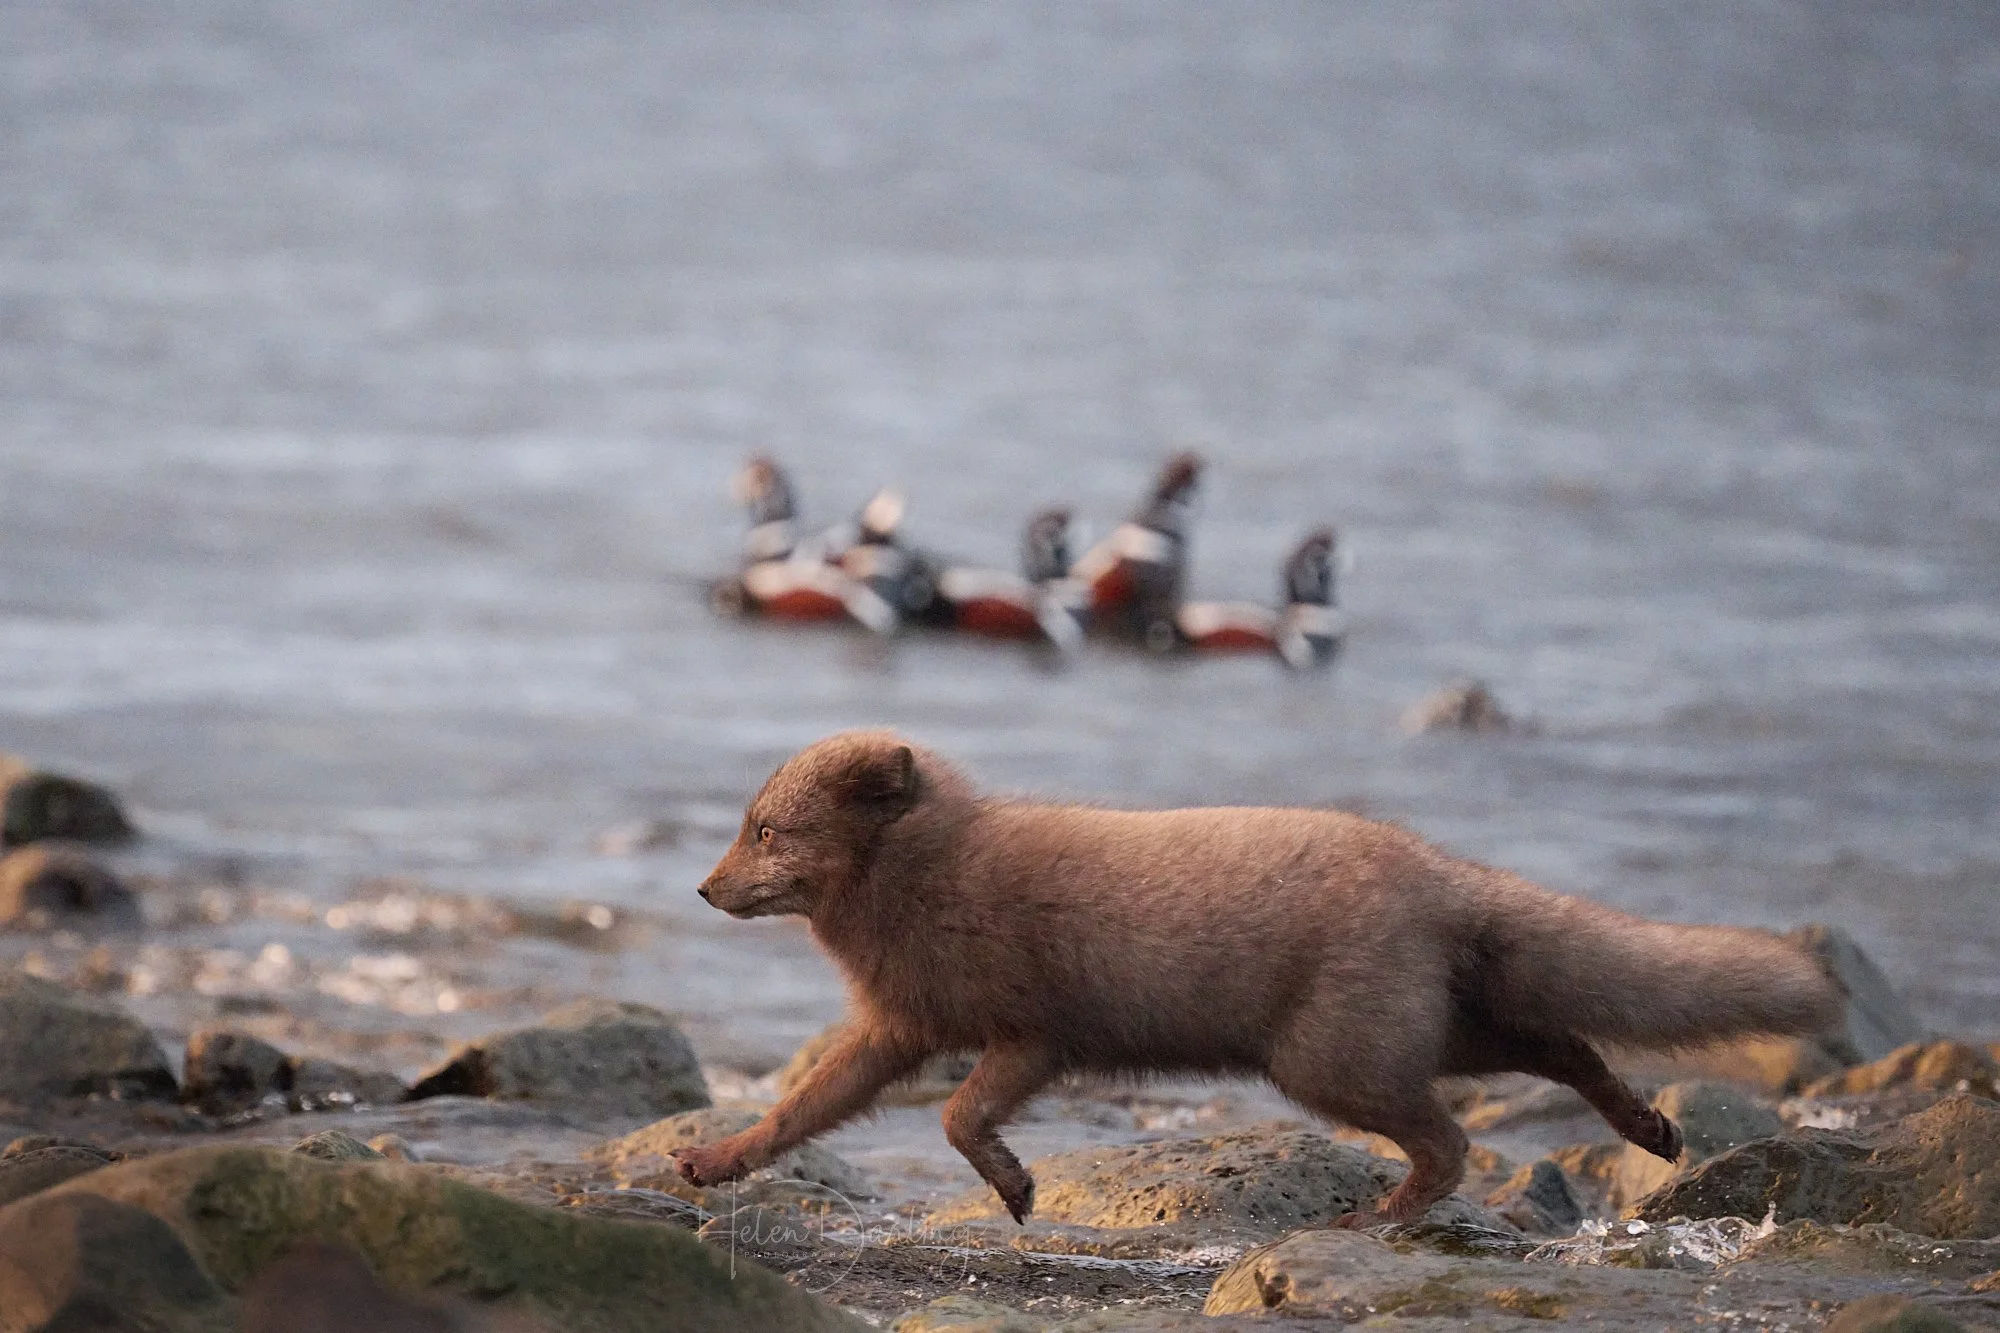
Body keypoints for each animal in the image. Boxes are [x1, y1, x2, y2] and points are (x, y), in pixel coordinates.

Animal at [675, 731, 1842, 1226]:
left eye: (765, 831)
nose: (699, 888)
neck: (930, 878)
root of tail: (1432, 868)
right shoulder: (896, 1028)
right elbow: (797, 1112)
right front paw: (715, 1160)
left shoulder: (1034, 1034)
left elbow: (961, 1119)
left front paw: (1013, 1187)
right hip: (1432, 1031)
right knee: (1563, 1047)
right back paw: (1650, 1129)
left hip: (1331, 1060)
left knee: (1455, 1140)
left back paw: (1376, 1220)